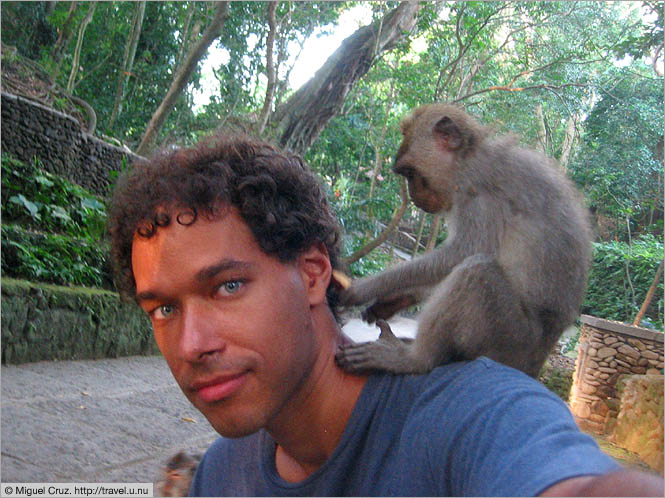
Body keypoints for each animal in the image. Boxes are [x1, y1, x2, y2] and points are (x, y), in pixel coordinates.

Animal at [334, 104, 588, 378]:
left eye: (411, 173)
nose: (413, 196)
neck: (467, 156)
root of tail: (534, 364)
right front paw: (396, 300)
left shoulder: (478, 191)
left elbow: (462, 253)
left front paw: (363, 289)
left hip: (511, 340)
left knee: (476, 272)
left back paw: (414, 359)